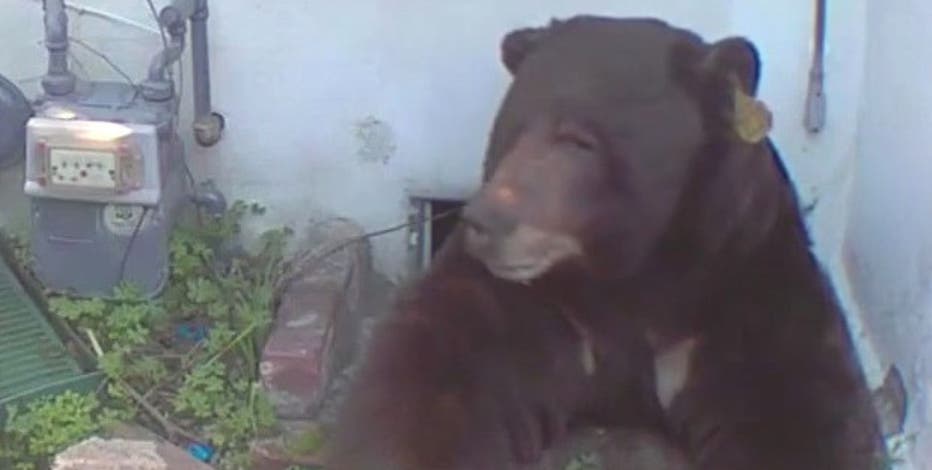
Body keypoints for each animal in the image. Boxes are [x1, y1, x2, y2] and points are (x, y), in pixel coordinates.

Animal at [326, 15, 889, 470]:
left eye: (579, 140)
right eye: (511, 128)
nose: (484, 221)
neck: (633, 272)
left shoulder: (745, 283)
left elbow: (802, 413)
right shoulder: (527, 303)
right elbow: (430, 382)